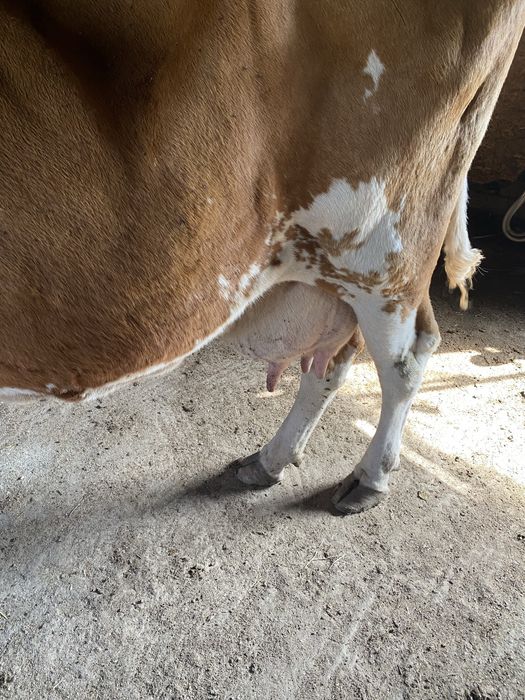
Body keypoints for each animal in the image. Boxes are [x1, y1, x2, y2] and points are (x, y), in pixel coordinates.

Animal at [0, 1, 523, 514]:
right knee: (334, 361)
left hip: (384, 256)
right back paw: (270, 461)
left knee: (406, 361)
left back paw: (367, 479)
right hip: (343, 274)